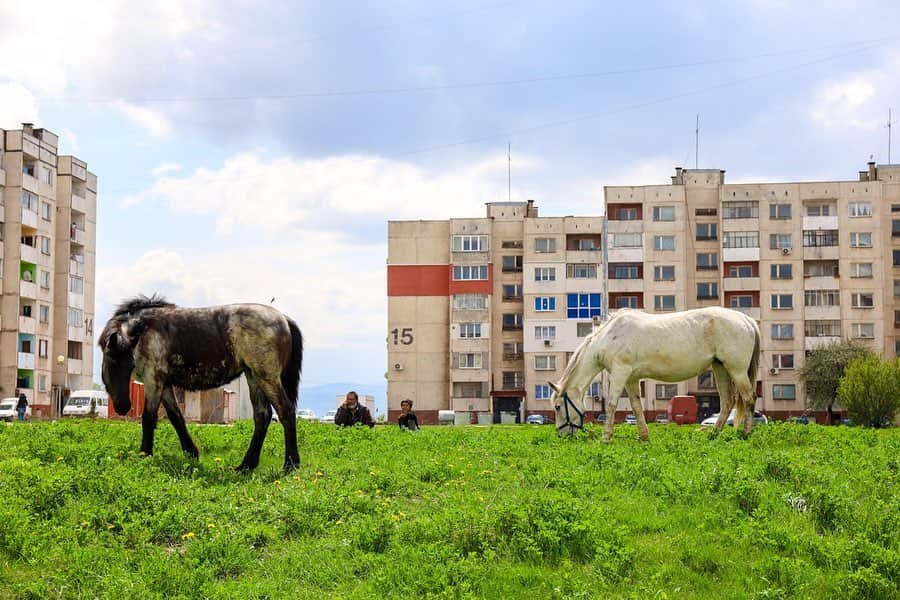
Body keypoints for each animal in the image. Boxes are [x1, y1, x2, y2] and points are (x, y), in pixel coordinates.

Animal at [97, 296, 304, 474]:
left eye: (121, 362)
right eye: (112, 362)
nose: (123, 407)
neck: (144, 331)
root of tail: (284, 319)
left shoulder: (152, 380)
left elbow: (148, 418)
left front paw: (144, 455)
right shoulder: (164, 383)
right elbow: (176, 418)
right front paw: (191, 452)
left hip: (266, 377)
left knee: (285, 411)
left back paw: (290, 464)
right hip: (253, 376)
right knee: (262, 416)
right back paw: (245, 466)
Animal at [548, 308, 760, 438]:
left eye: (558, 407)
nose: (562, 435)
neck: (608, 337)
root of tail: (746, 319)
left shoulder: (620, 373)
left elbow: (611, 405)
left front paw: (606, 437)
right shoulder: (631, 378)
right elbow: (636, 406)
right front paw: (643, 436)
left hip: (737, 370)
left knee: (749, 398)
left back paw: (746, 433)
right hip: (720, 368)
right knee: (726, 402)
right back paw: (713, 434)